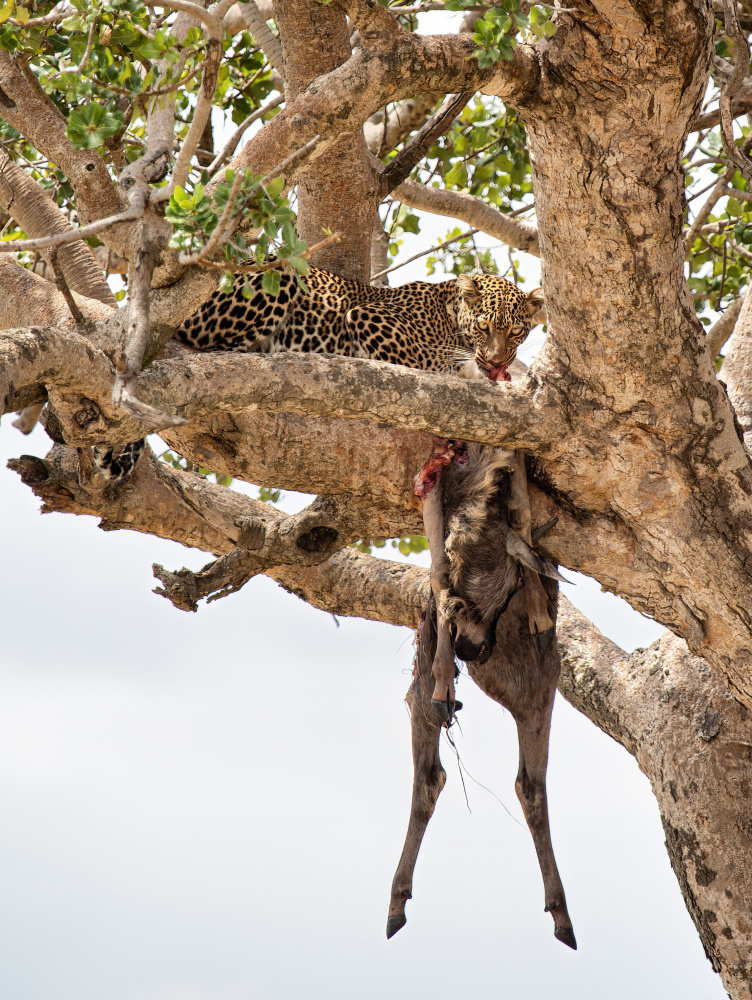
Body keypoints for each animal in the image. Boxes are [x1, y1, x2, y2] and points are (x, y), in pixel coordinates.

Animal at [94, 268, 544, 478]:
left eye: (517, 331)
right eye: (484, 327)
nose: (498, 362)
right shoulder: (370, 318)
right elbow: (424, 365)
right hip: (275, 281)